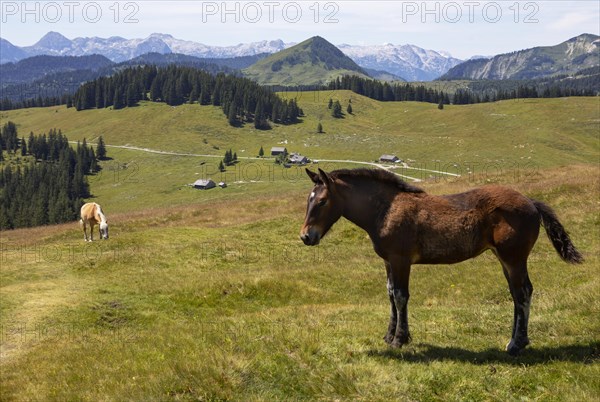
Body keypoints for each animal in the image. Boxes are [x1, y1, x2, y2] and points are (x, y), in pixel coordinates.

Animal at [300, 168, 580, 356]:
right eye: (308, 199)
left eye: (322, 201)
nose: (306, 236)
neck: (385, 210)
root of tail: (531, 202)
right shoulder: (388, 261)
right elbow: (390, 294)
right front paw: (389, 335)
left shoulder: (401, 260)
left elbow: (400, 296)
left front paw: (400, 339)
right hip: (505, 258)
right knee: (517, 293)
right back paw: (516, 340)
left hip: (514, 258)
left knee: (522, 293)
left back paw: (516, 344)